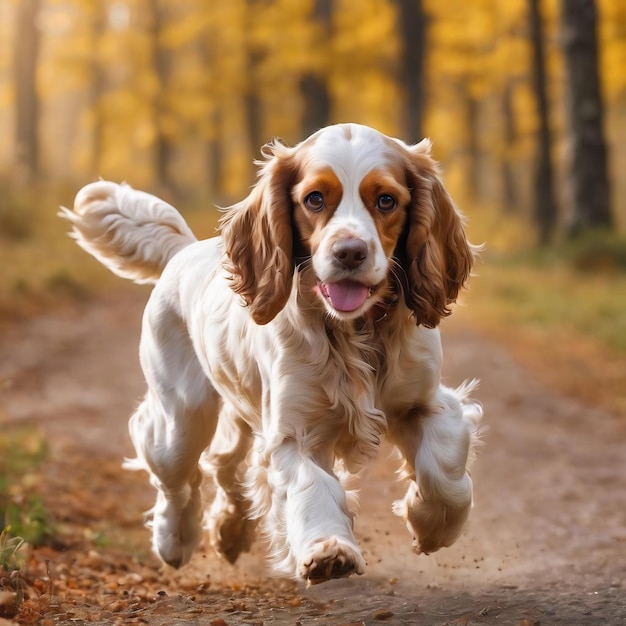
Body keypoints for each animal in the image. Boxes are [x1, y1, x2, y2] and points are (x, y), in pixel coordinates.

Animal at [59, 122, 478, 580]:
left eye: (386, 200)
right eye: (315, 199)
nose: (350, 252)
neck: (355, 331)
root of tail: (183, 252)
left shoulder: (425, 402)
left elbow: (442, 469)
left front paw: (431, 525)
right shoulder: (293, 432)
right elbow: (312, 487)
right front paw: (328, 550)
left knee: (225, 464)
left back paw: (229, 529)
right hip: (182, 418)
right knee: (174, 473)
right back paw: (174, 538)